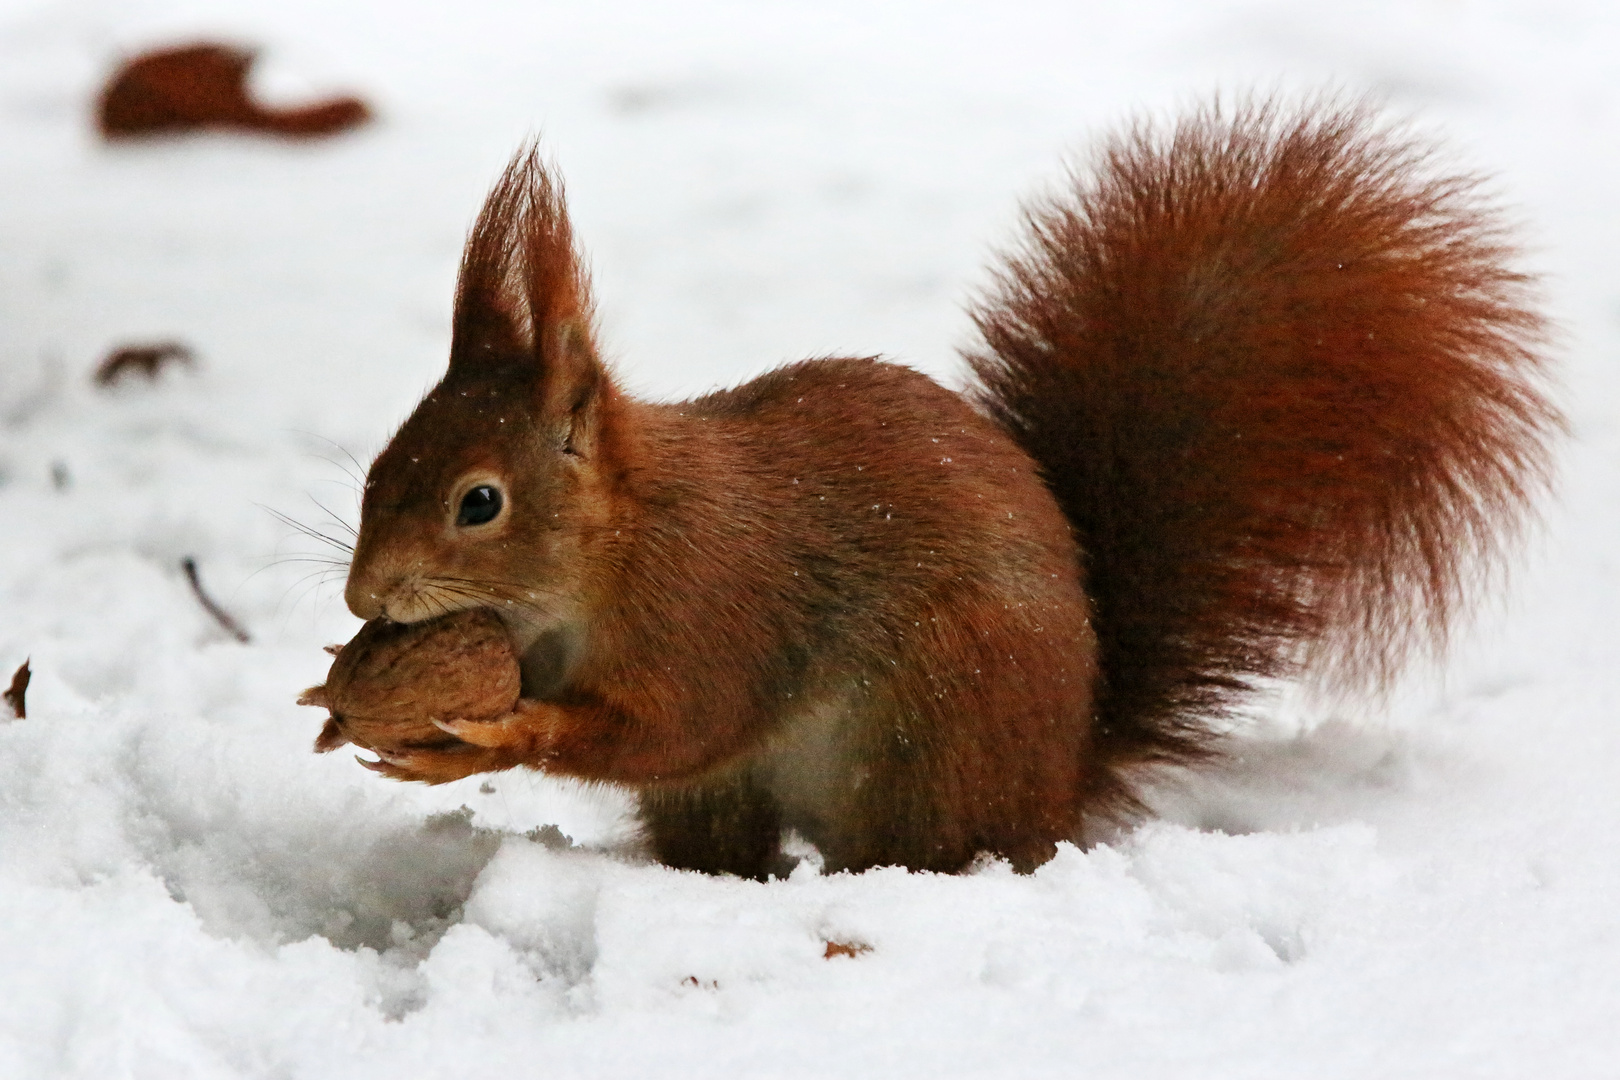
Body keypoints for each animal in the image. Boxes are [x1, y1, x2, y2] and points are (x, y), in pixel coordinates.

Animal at [338, 101, 1555, 880]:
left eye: (478, 502)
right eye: (379, 465)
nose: (361, 600)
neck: (615, 549)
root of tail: (1058, 786)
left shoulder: (713, 612)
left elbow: (674, 724)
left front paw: (495, 735)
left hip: (934, 721)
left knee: (915, 851)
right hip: (757, 790)